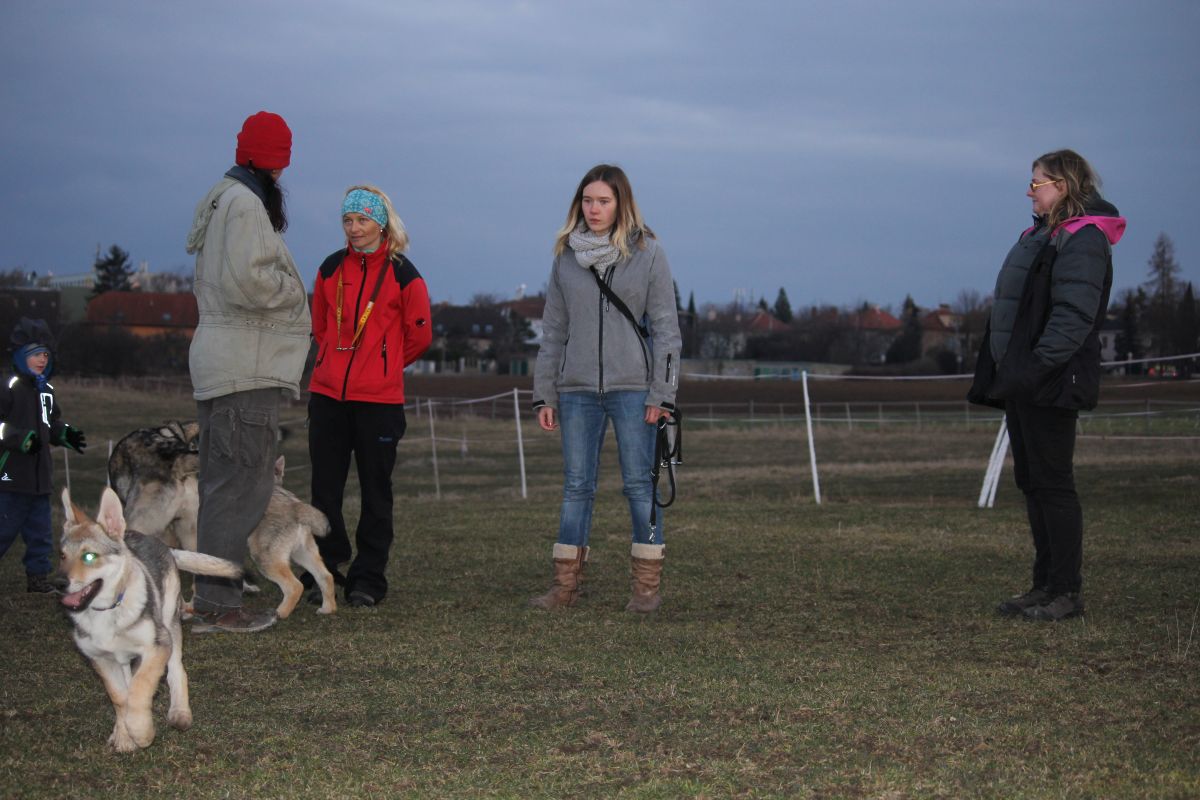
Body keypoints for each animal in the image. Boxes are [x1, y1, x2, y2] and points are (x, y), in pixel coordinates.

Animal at [59, 484, 242, 753]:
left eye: (89, 557)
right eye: (62, 556)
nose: (58, 582)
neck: (107, 611)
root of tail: (157, 541)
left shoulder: (158, 646)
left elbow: (139, 688)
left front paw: (141, 732)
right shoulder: (101, 659)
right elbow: (120, 697)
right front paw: (124, 736)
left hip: (170, 626)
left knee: (176, 671)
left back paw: (180, 713)